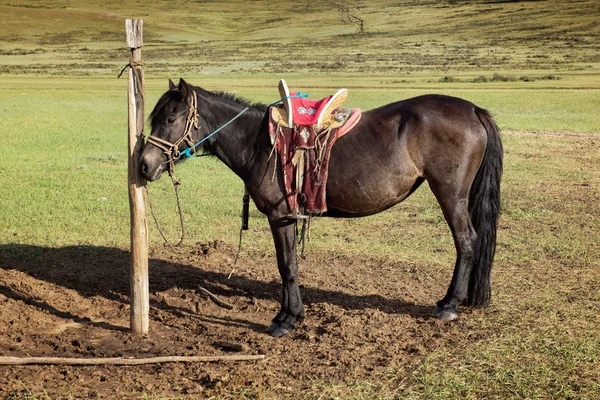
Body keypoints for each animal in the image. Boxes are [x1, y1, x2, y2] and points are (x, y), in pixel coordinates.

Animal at [141, 78, 502, 338]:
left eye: (170, 118)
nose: (144, 165)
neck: (259, 144)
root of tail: (473, 110)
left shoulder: (281, 217)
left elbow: (286, 266)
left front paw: (286, 319)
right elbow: (288, 266)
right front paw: (291, 314)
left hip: (450, 193)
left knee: (467, 241)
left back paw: (449, 304)